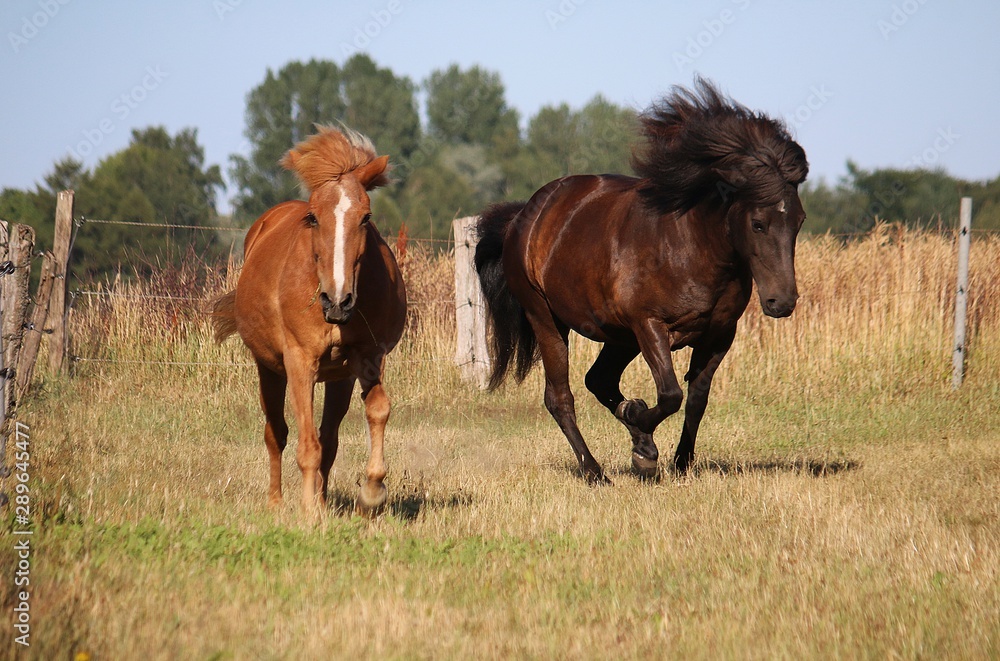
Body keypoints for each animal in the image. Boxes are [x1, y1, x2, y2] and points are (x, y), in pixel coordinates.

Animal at [213, 126, 406, 516]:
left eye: (366, 217)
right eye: (314, 217)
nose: (338, 300)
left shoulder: (368, 357)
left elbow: (377, 411)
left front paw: (371, 491)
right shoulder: (300, 362)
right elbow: (306, 447)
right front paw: (309, 515)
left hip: (338, 377)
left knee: (328, 438)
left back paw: (322, 497)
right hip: (269, 370)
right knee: (276, 434)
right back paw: (277, 502)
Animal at [474, 79, 808, 483]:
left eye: (799, 221)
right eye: (758, 223)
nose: (782, 302)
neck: (691, 245)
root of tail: (523, 216)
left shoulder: (718, 334)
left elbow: (696, 398)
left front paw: (678, 461)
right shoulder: (650, 325)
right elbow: (670, 394)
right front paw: (642, 443)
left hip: (618, 336)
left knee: (599, 380)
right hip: (548, 320)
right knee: (560, 397)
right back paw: (594, 471)